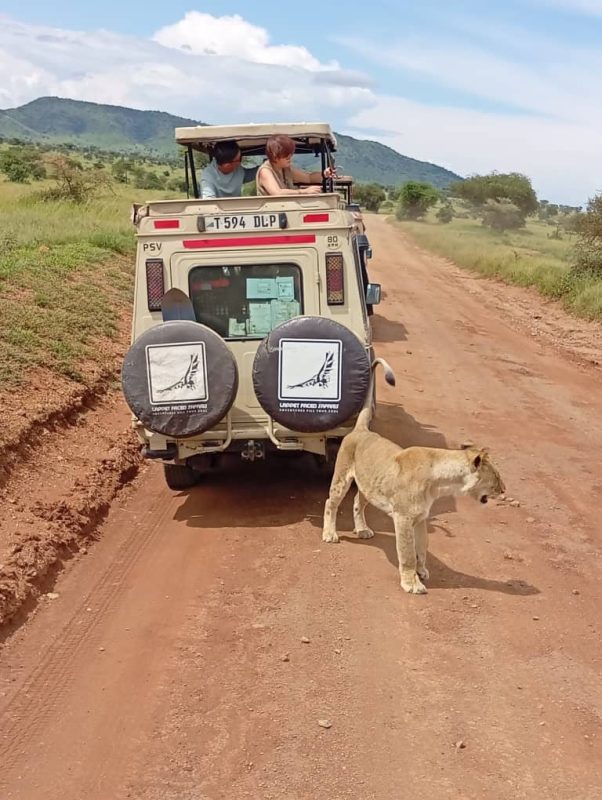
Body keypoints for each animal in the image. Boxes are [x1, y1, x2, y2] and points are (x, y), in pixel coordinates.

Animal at [322, 407, 505, 594]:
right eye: (497, 477)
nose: (504, 489)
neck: (440, 482)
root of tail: (361, 430)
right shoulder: (403, 517)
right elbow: (408, 553)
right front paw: (412, 583)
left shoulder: (421, 517)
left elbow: (422, 547)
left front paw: (422, 570)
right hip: (341, 478)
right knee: (330, 503)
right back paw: (329, 534)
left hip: (368, 487)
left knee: (357, 503)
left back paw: (362, 530)